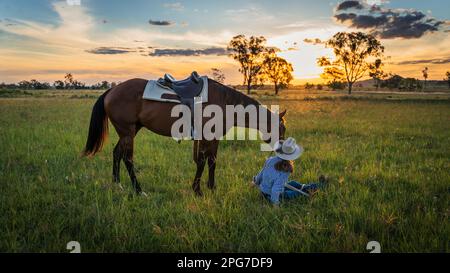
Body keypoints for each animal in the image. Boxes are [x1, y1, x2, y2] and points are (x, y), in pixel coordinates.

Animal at [82, 77, 286, 194]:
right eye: (282, 129)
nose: (282, 152)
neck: (223, 102)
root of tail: (112, 90)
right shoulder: (206, 137)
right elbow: (202, 161)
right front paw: (197, 190)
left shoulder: (214, 138)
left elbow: (212, 161)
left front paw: (212, 187)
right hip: (127, 132)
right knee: (128, 158)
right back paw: (138, 190)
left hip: (130, 131)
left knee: (117, 153)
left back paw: (117, 184)